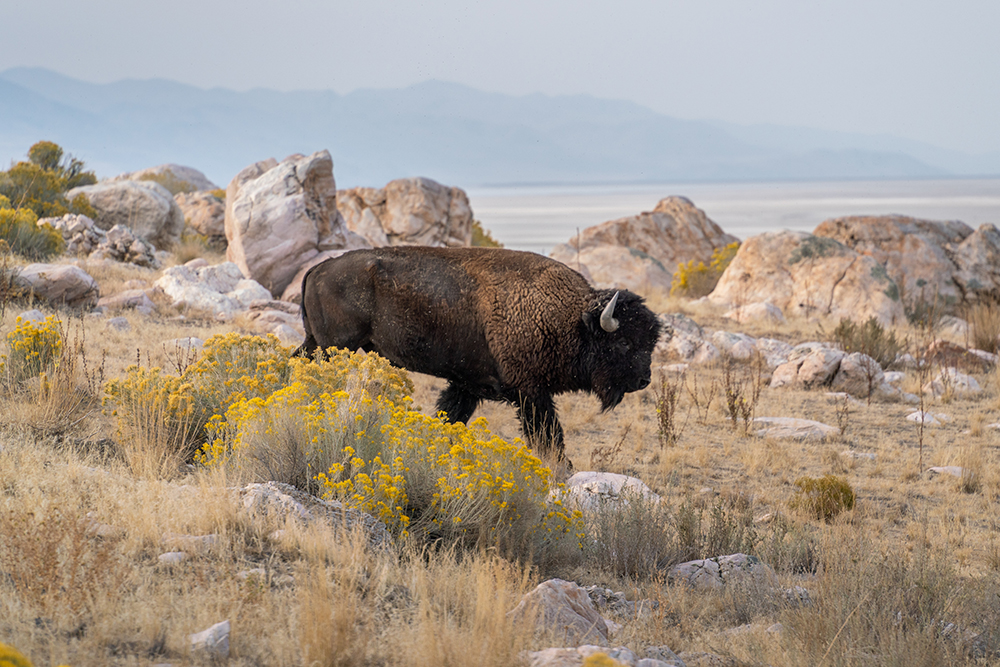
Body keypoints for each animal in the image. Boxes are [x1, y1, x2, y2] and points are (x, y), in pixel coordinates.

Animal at [292, 247, 660, 464]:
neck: (570, 318)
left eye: (650, 341)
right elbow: (549, 436)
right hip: (335, 347)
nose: (644, 380)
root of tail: (318, 269)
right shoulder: (530, 393)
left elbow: (450, 416)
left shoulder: (467, 385)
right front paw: (561, 469)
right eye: (624, 343)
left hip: (315, 343)